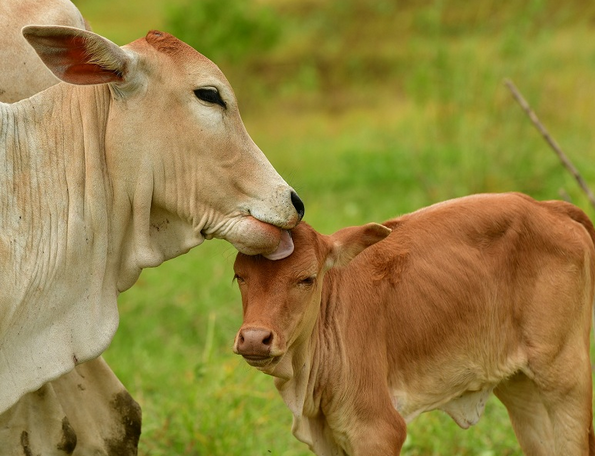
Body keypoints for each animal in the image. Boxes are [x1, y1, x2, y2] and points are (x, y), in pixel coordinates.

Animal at [233, 192, 595, 456]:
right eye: (239, 276)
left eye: (306, 278)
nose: (254, 338)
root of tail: (548, 206)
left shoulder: (377, 430)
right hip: (524, 390)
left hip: (565, 380)